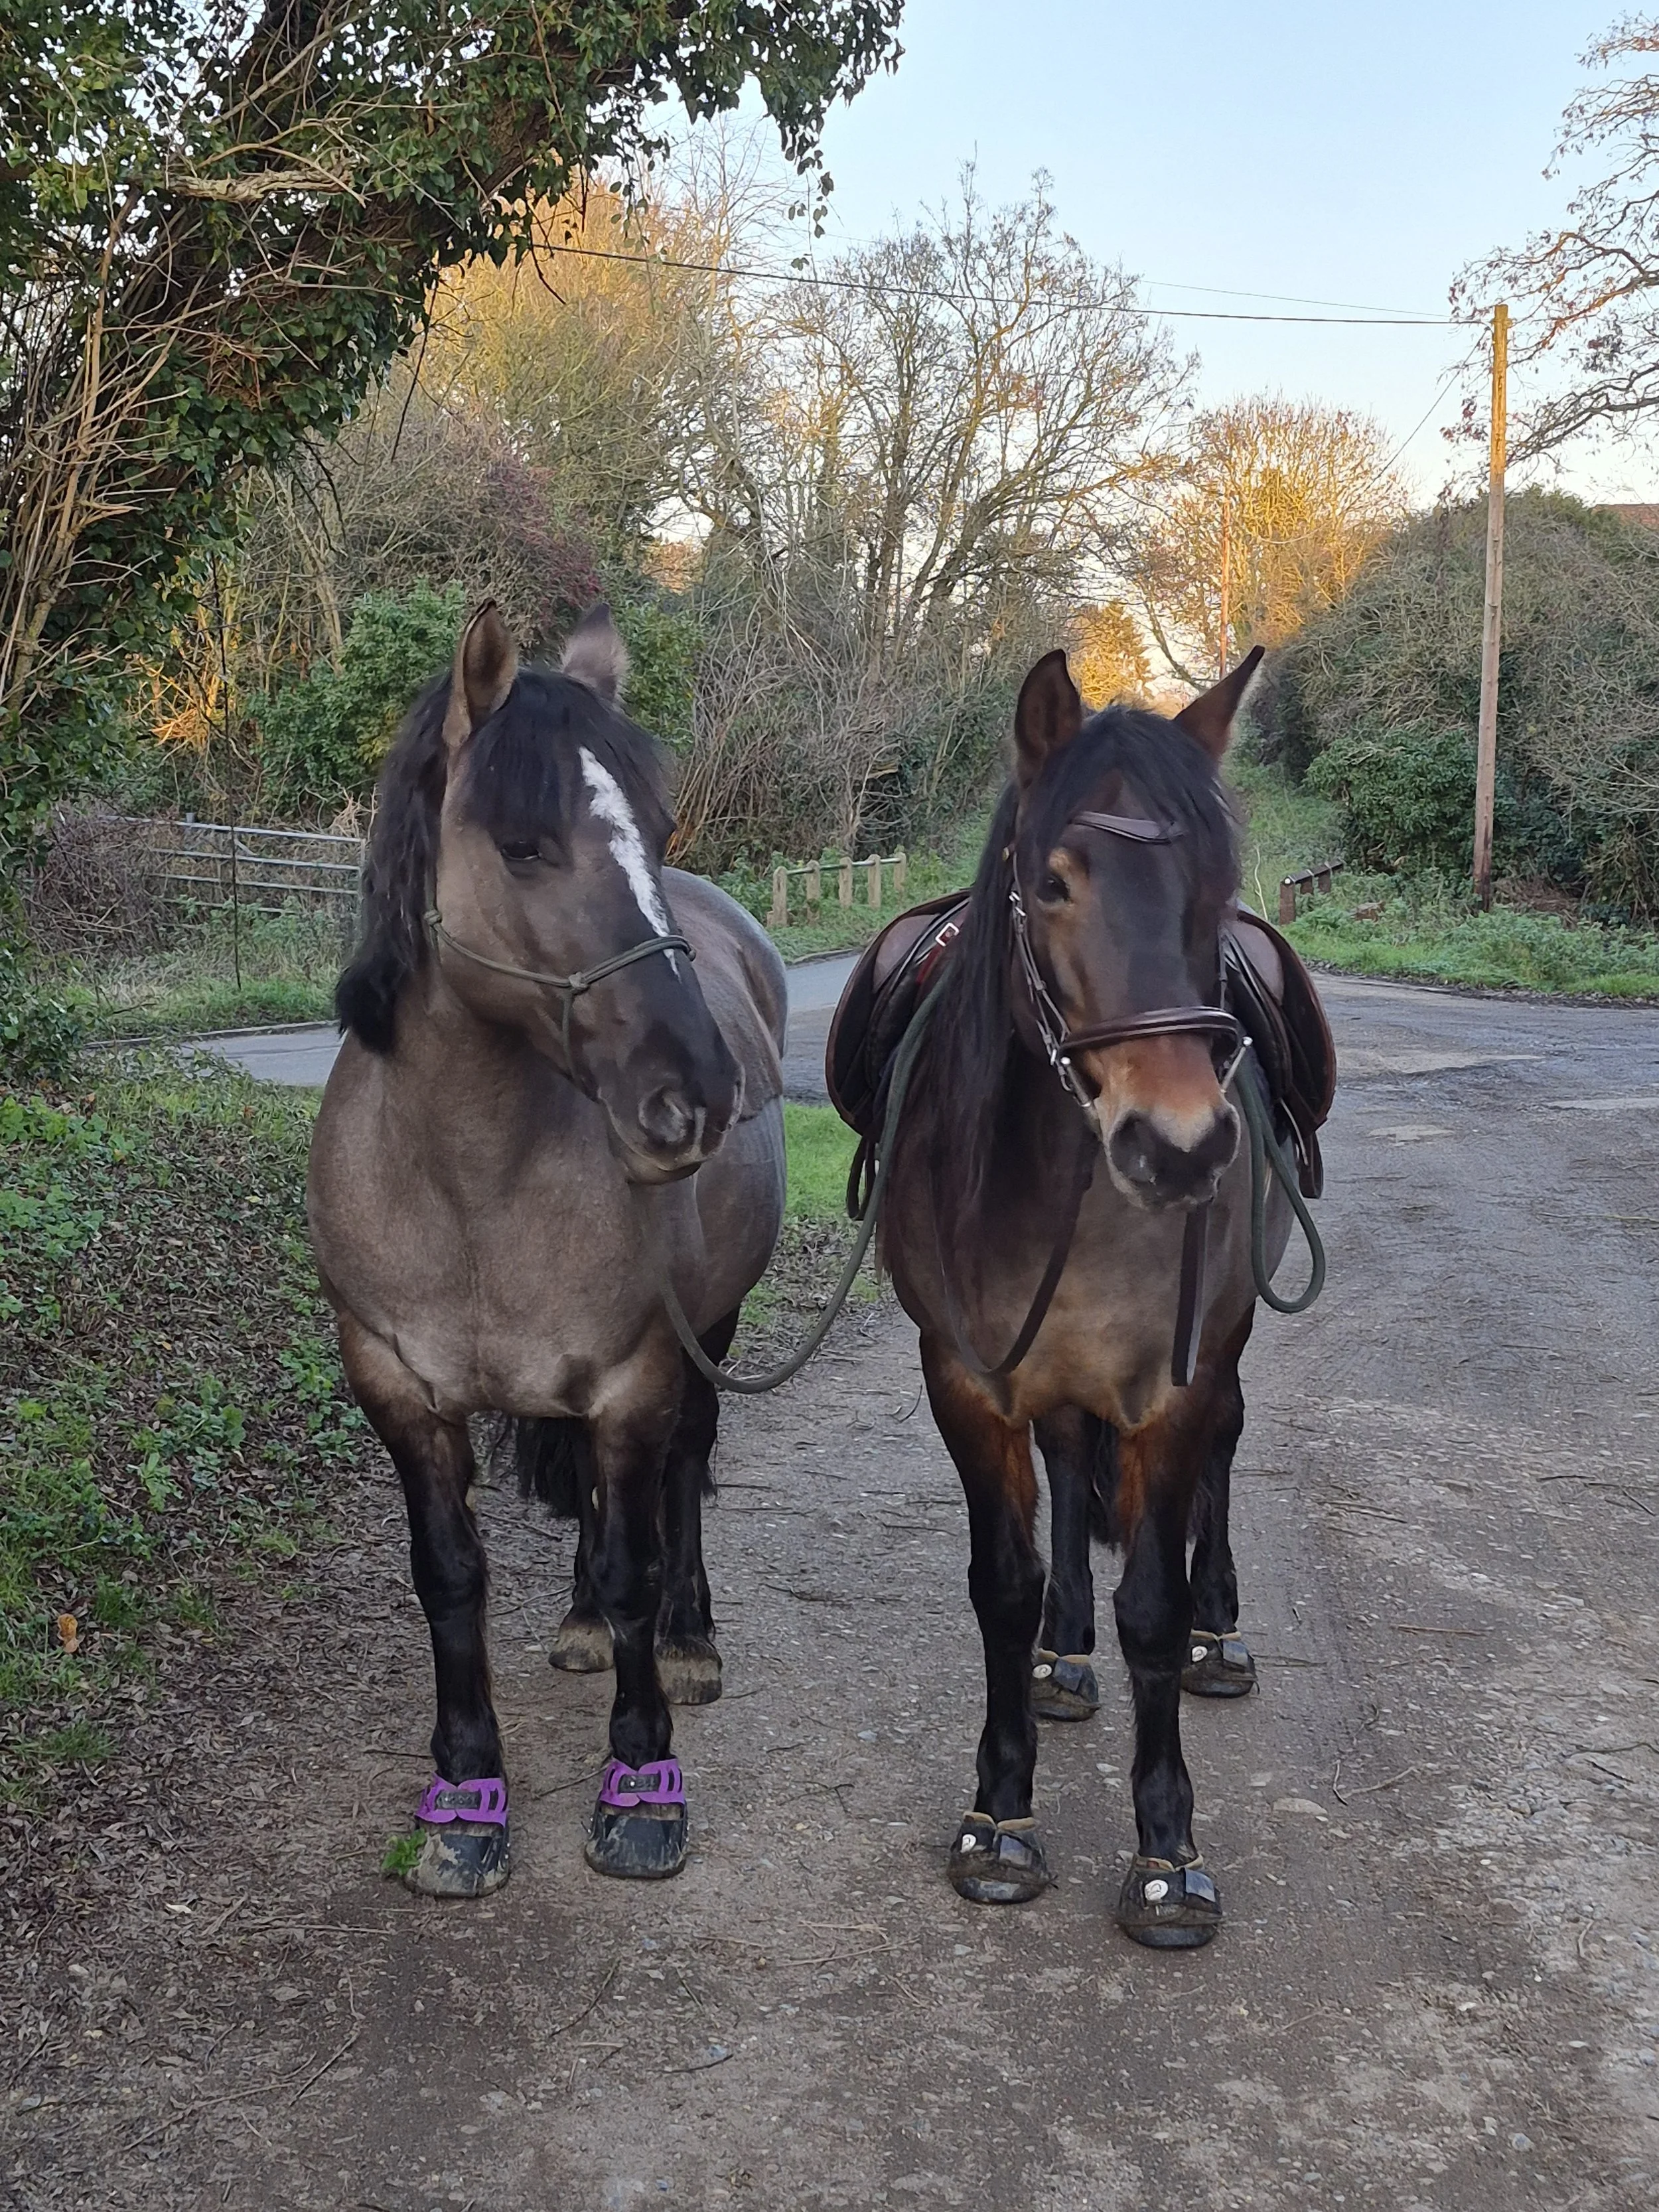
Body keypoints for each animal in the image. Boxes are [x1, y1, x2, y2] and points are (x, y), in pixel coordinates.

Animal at [307, 601, 787, 1897]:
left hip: (708, 1330)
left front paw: (642, 1784)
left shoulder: (636, 1376)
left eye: (656, 831)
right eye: (523, 846)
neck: (471, 1184)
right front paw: (468, 1796)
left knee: (682, 1472)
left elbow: (634, 1558)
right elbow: (450, 1574)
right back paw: (578, 1628)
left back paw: (688, 1638)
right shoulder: (398, 1389)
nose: (697, 1098)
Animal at [877, 644, 1292, 1947]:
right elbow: (1001, 1588)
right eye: (1052, 882)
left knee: (1224, 1458)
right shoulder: (966, 1378)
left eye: (1214, 881)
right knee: (1066, 1466)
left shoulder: (1176, 1381)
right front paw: (1000, 1812)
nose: (1180, 1145)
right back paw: (1064, 1652)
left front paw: (1166, 1850)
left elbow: (1151, 1604)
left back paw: (1220, 1627)